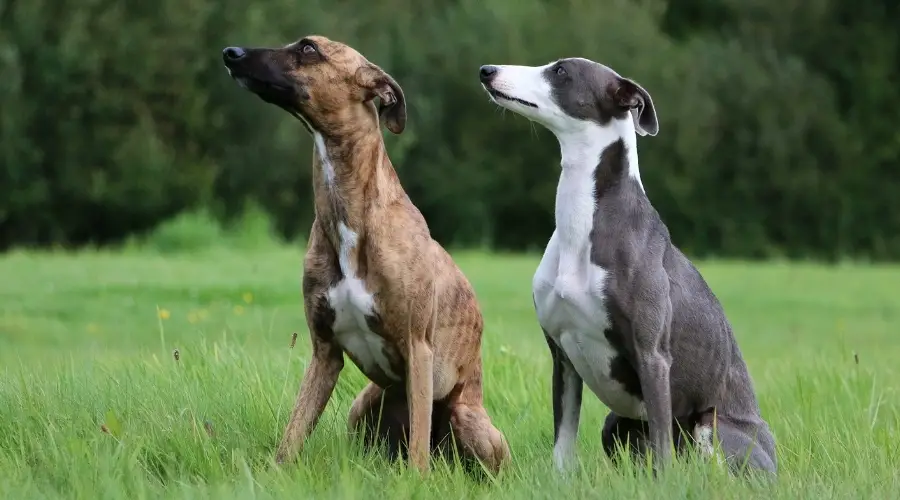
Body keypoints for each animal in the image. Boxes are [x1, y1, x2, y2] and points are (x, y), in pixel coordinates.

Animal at [482, 59, 776, 476]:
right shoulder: (562, 356)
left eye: (560, 72)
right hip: (615, 424)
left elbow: (663, 452)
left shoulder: (652, 356)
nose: (486, 70)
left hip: (713, 426)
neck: (583, 224)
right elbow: (563, 444)